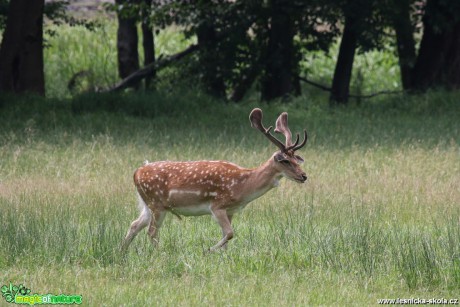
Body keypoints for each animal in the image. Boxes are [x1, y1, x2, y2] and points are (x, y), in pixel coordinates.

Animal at [121, 108, 310, 253]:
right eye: (285, 161)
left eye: (296, 159)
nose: (304, 176)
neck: (243, 187)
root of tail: (137, 172)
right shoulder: (217, 205)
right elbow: (230, 233)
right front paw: (208, 250)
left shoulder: (231, 210)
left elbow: (227, 236)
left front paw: (223, 256)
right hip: (157, 204)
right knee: (152, 232)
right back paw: (159, 255)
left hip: (148, 204)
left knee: (134, 225)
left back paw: (122, 253)